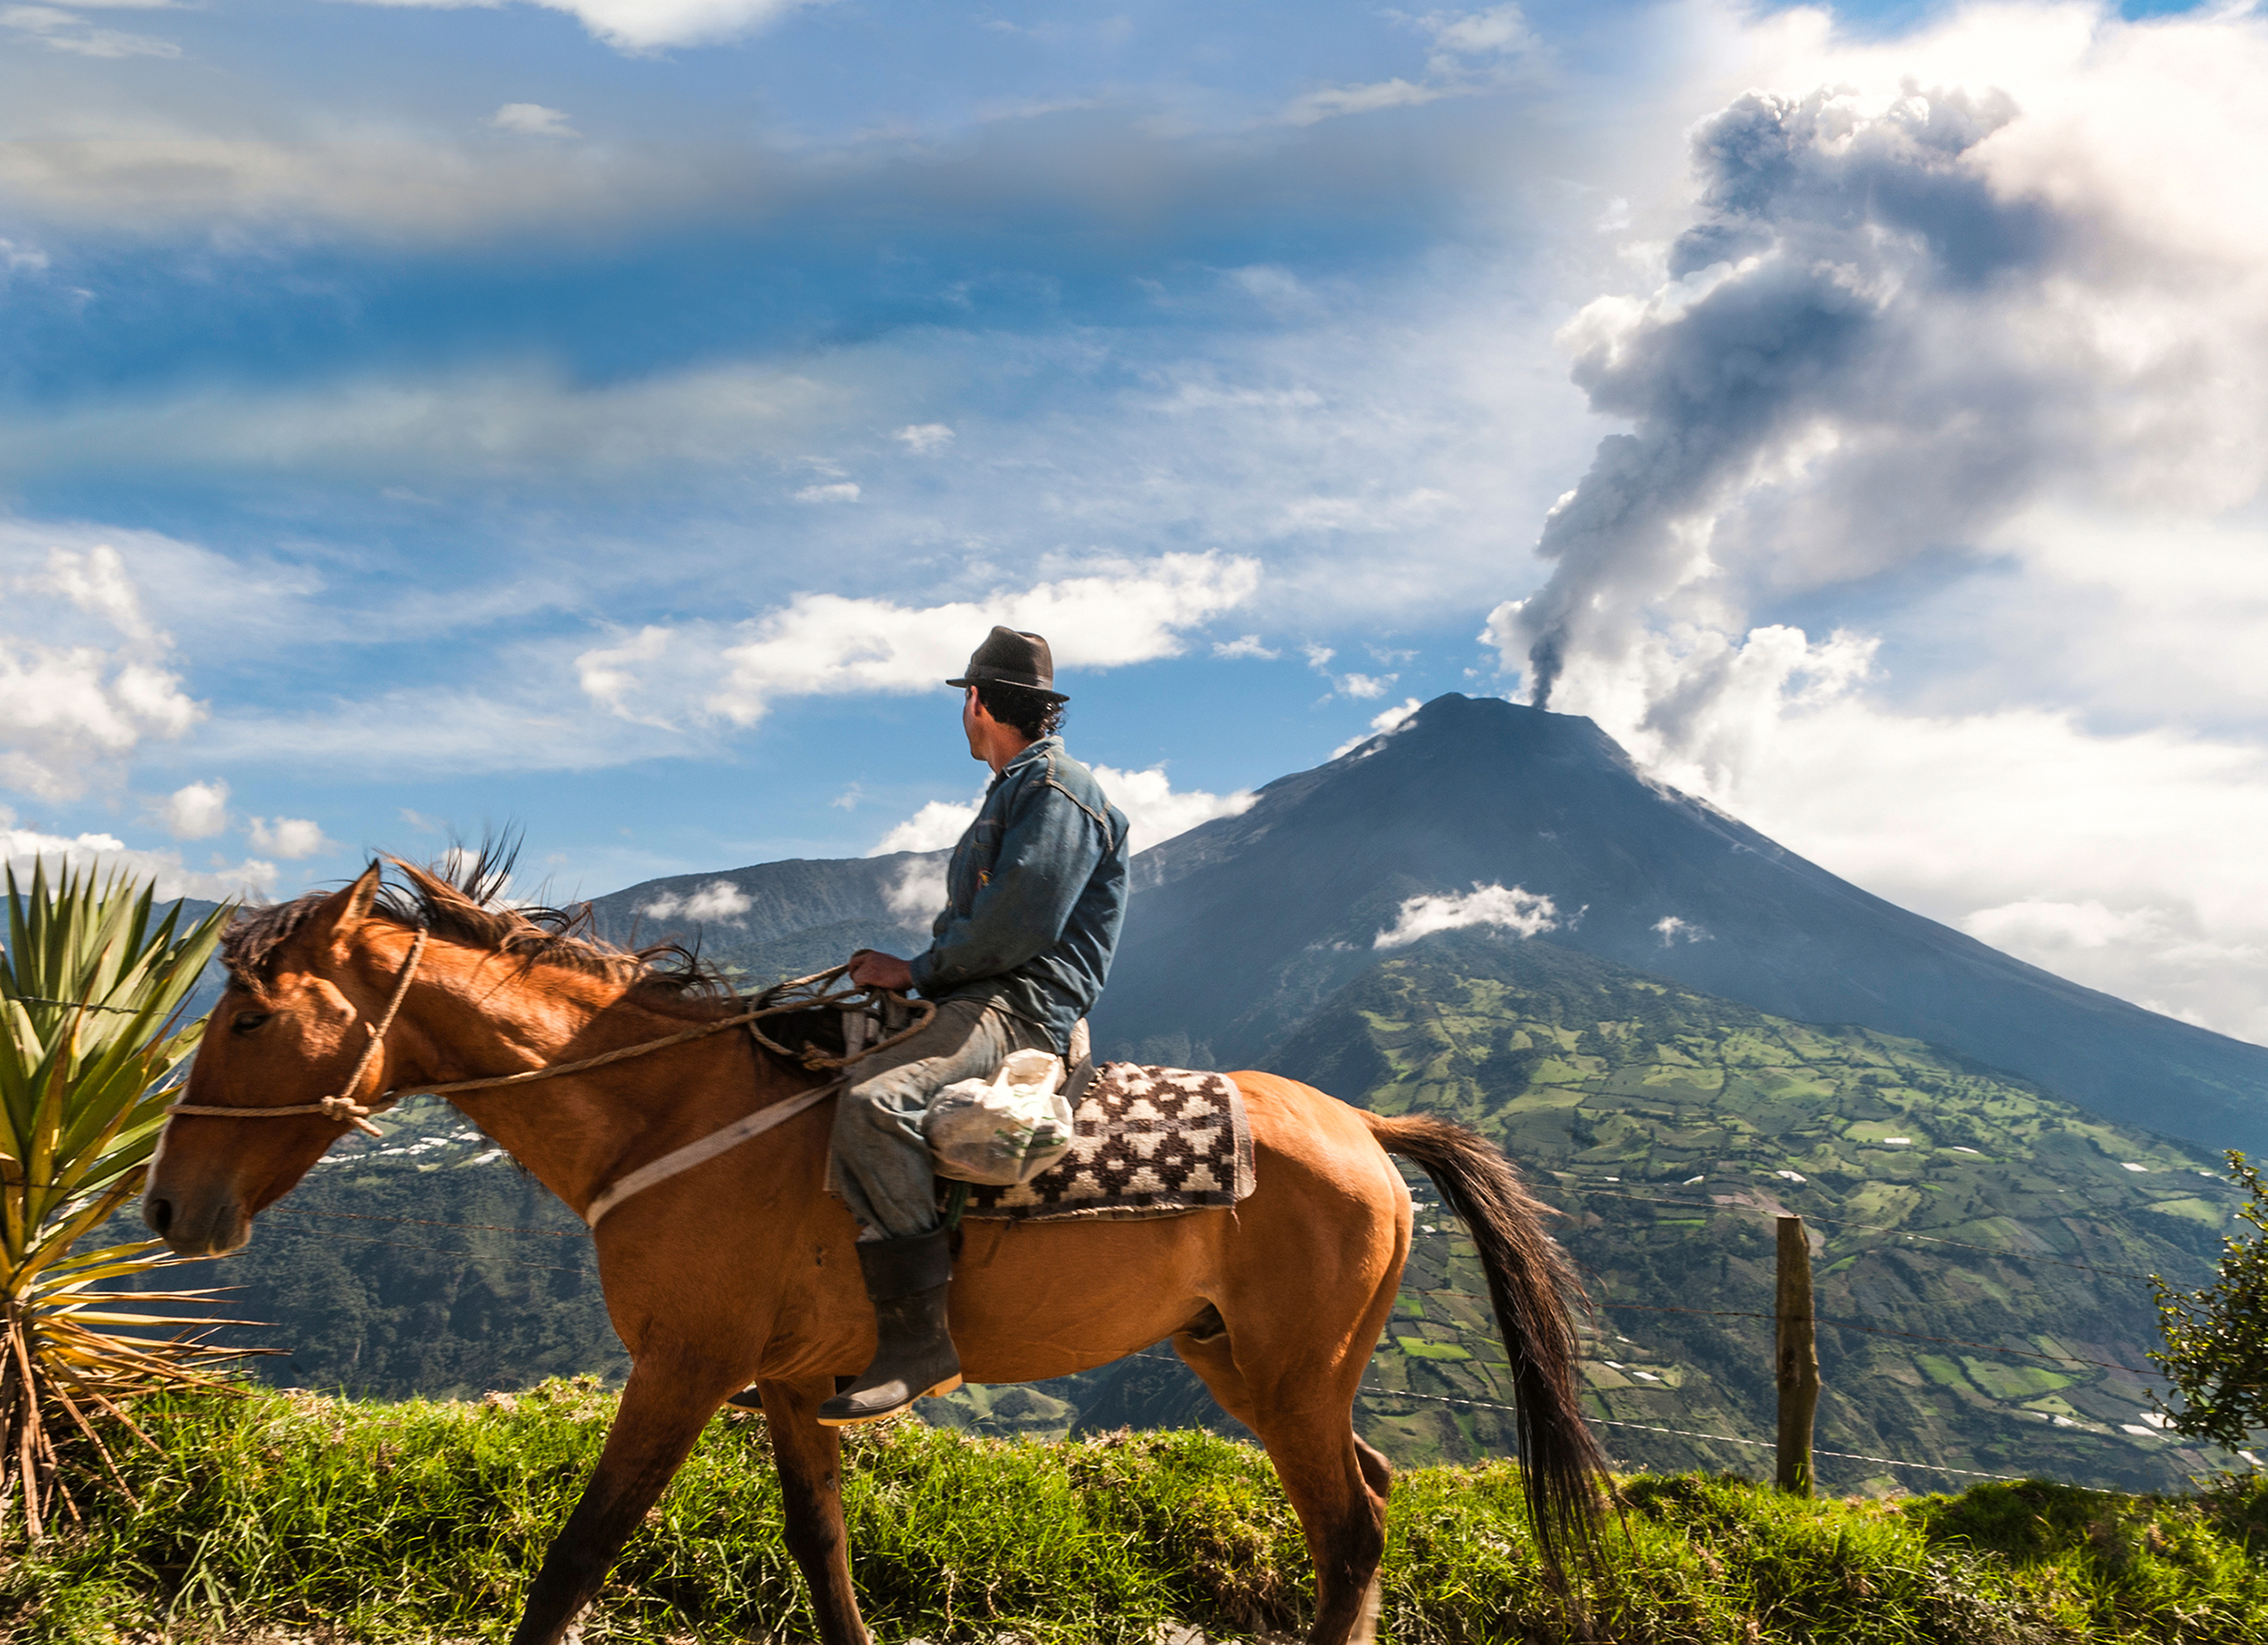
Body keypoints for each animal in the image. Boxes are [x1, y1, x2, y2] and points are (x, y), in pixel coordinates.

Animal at [141, 857, 1605, 1642]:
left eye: (253, 1020)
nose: (163, 1210)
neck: (674, 1113)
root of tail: (1364, 1123)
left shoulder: (683, 1368)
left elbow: (580, 1551)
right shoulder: (791, 1387)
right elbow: (821, 1548)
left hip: (1292, 1373)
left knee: (1349, 1525)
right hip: (1241, 1362)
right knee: (1365, 1501)